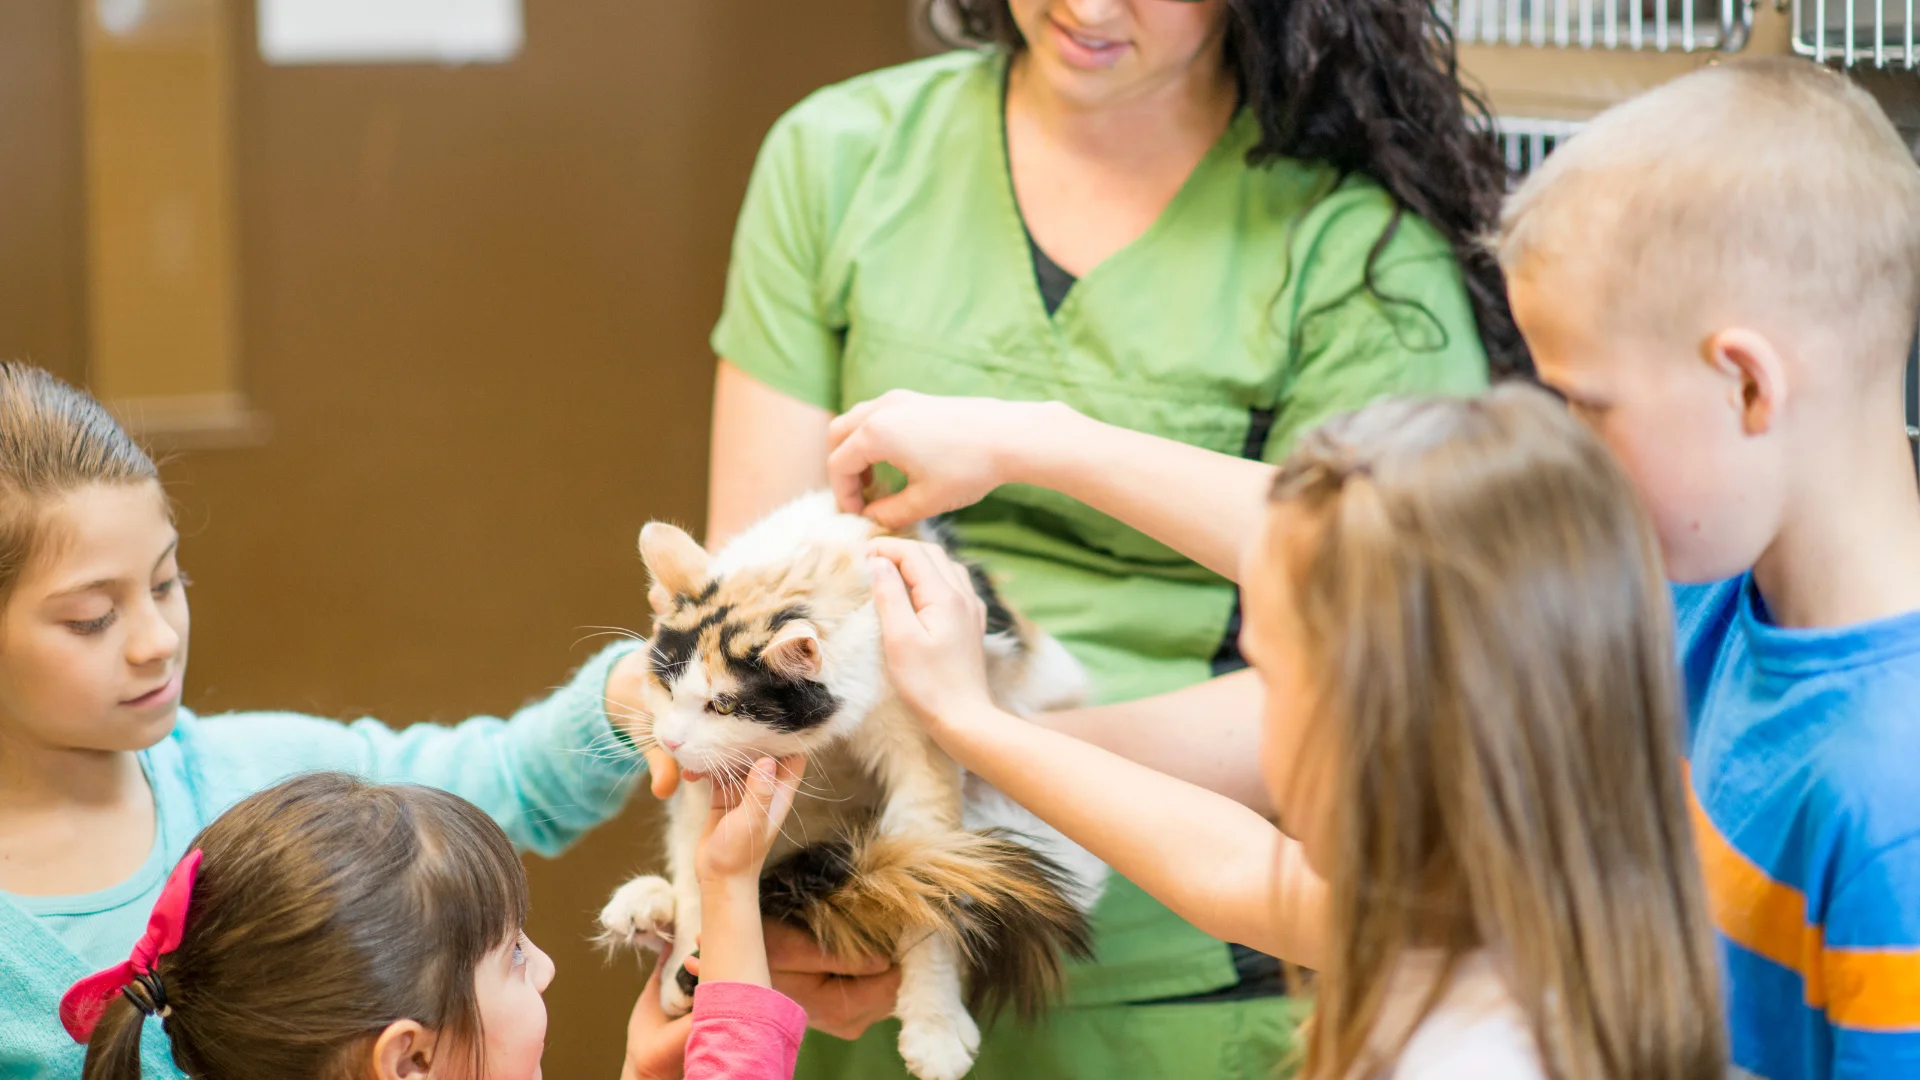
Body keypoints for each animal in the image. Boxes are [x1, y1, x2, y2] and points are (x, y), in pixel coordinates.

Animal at [599, 495, 1113, 1076]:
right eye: (665, 685)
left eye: (723, 705)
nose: (669, 740)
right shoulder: (700, 790)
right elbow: (695, 877)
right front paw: (679, 974)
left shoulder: (922, 762)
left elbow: (930, 886)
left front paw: (934, 1024)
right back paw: (644, 907)